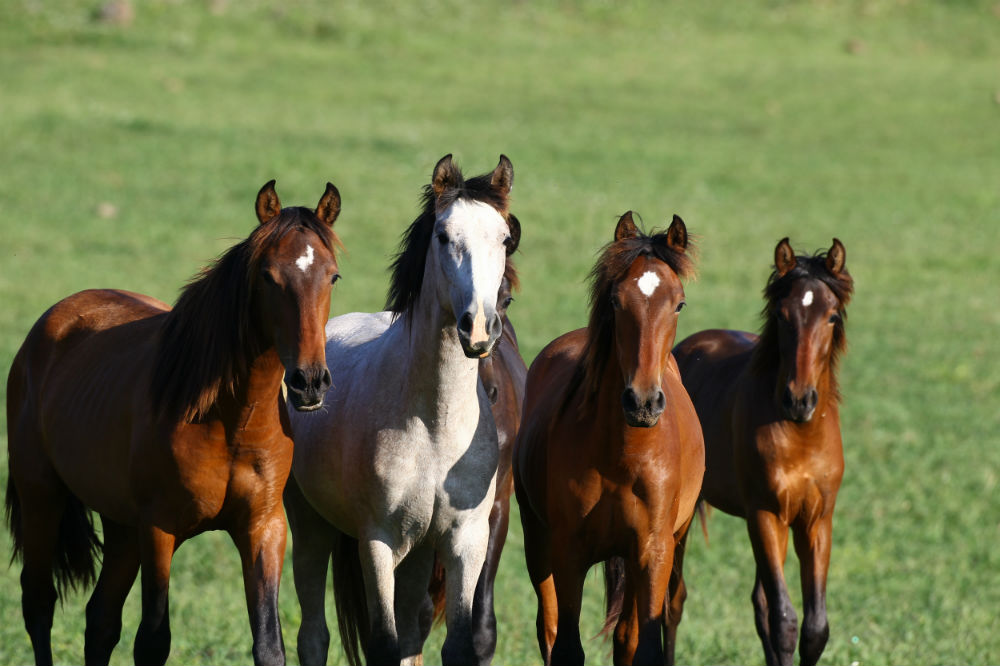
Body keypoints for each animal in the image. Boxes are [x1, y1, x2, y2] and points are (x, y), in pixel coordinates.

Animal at [5, 182, 344, 664]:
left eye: (332, 276)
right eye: (268, 276)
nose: (309, 382)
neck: (230, 420)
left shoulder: (264, 528)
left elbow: (268, 643)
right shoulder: (159, 531)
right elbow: (152, 640)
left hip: (121, 527)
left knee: (100, 620)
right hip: (42, 497)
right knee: (39, 603)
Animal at [516, 214, 704, 664]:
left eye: (679, 303)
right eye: (617, 302)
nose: (643, 402)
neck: (623, 455)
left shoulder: (653, 553)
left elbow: (643, 644)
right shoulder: (568, 552)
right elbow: (566, 646)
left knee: (626, 636)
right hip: (537, 542)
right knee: (548, 628)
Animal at [672, 237, 852, 664]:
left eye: (831, 316)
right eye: (783, 316)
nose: (799, 400)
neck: (801, 436)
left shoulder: (816, 521)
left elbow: (814, 628)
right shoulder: (766, 515)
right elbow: (784, 621)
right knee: (671, 602)